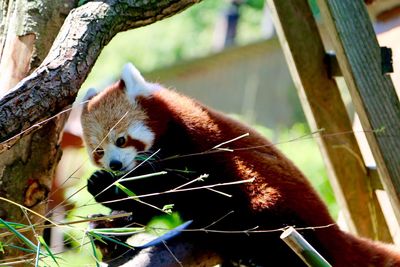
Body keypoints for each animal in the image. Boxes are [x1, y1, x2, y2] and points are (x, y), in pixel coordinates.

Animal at [80, 63, 400, 266]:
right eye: (99, 151)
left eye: (121, 140)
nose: (115, 164)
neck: (170, 123)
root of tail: (331, 227)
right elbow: (150, 204)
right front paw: (112, 205)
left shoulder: (191, 147)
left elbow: (168, 188)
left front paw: (106, 187)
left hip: (272, 205)